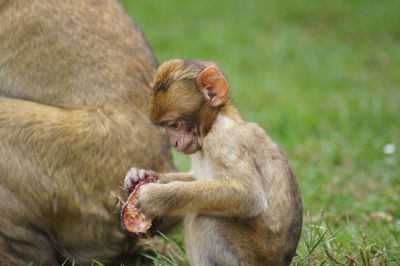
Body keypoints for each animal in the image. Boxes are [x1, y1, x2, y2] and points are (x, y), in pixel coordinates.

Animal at [125, 59, 304, 266]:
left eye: (173, 124)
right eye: (165, 127)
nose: (174, 143)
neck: (215, 123)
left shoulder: (226, 141)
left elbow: (248, 195)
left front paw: (155, 197)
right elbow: (196, 177)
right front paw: (144, 175)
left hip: (250, 258)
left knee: (205, 217)